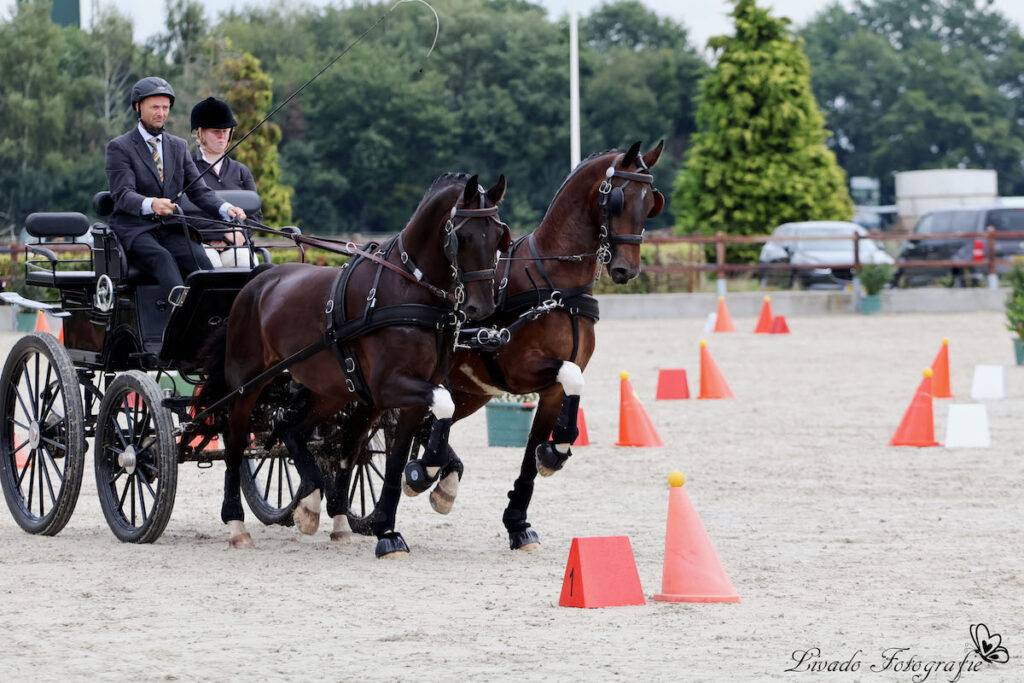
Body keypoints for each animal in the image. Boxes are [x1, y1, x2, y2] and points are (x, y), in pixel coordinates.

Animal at [203, 174, 512, 557]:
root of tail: (259, 279)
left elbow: (396, 460)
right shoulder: (390, 386)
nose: (482, 307)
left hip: (331, 391)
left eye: (499, 236)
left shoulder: (411, 394)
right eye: (463, 236)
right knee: (235, 442)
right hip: (247, 384)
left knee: (292, 430)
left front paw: (389, 528)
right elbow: (442, 406)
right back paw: (236, 524)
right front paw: (425, 474)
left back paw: (315, 507)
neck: (408, 291)